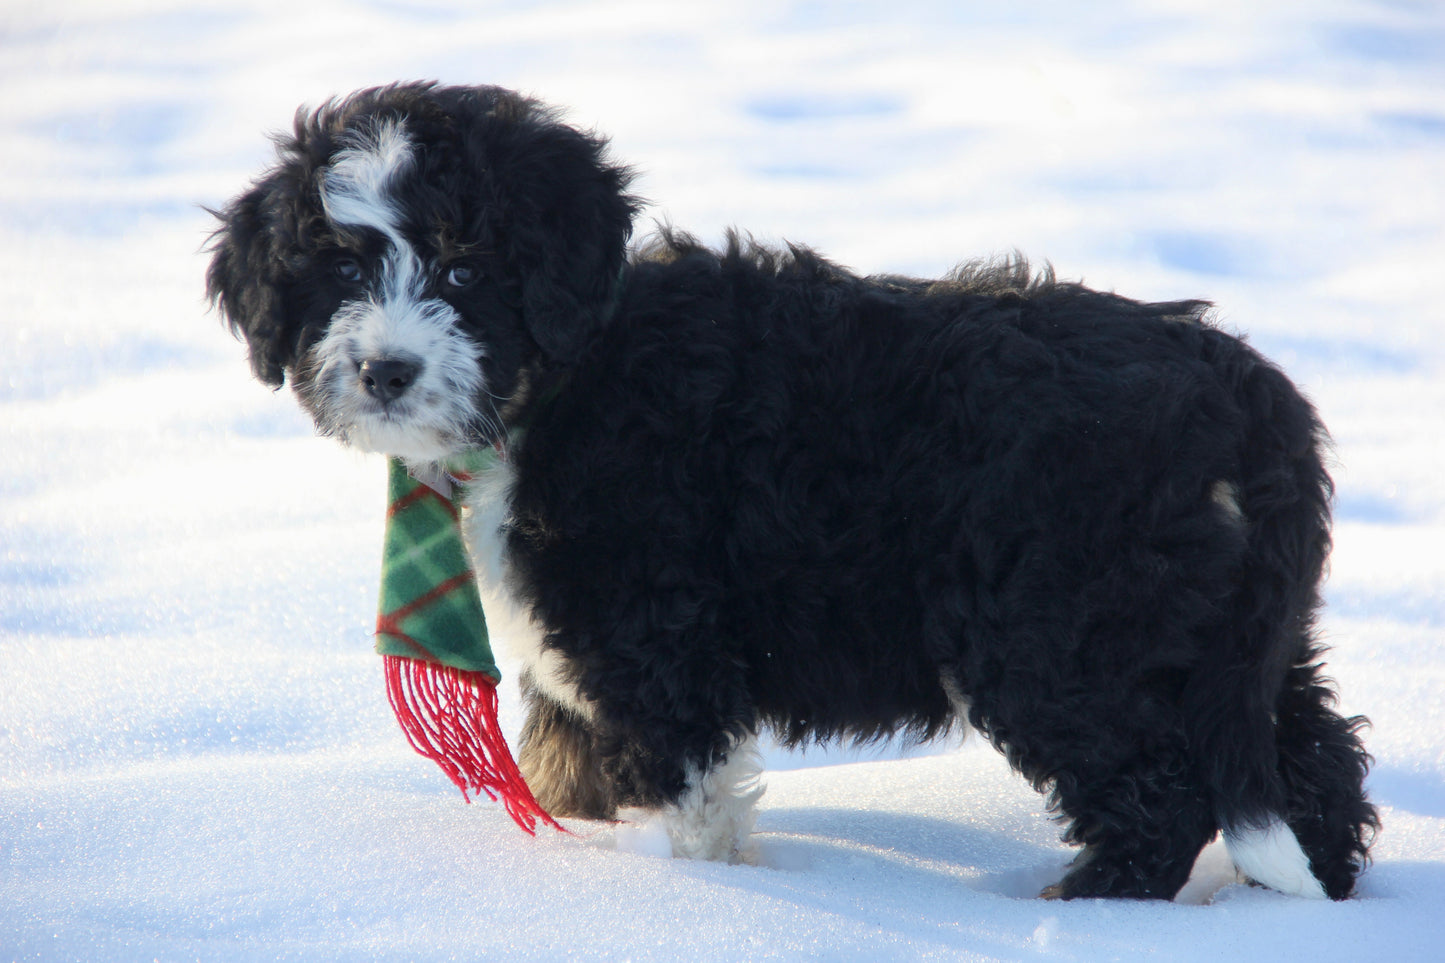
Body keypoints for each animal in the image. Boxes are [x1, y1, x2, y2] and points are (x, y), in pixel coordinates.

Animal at [206, 82, 1375, 902]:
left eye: (460, 270)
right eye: (340, 271)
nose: (385, 371)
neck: (566, 377)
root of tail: (1246, 392)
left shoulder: (655, 636)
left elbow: (686, 797)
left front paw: (694, 901)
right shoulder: (574, 657)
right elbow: (565, 773)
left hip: (1061, 635)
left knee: (1155, 794)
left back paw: (1076, 907)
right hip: (1214, 630)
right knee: (1309, 762)